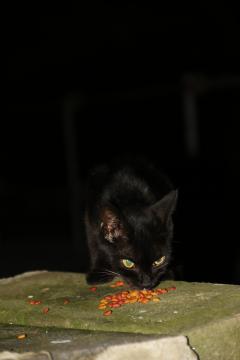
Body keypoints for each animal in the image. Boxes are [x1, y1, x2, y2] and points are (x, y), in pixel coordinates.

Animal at [84, 159, 176, 288]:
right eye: (128, 263)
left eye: (159, 261)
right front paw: (98, 272)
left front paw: (167, 274)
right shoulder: (91, 220)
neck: (129, 197)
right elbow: (94, 244)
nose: (147, 283)